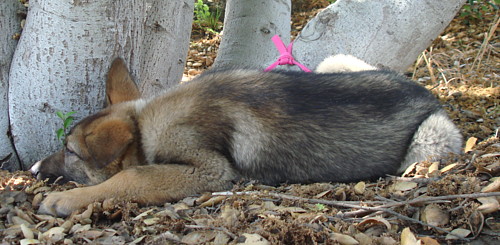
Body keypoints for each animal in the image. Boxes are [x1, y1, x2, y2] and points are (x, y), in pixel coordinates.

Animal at [30, 55, 460, 216]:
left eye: (70, 151)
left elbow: (132, 176)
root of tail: (428, 93)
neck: (146, 121)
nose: (33, 170)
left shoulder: (208, 169)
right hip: (333, 63)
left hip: (431, 139)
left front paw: (67, 199)